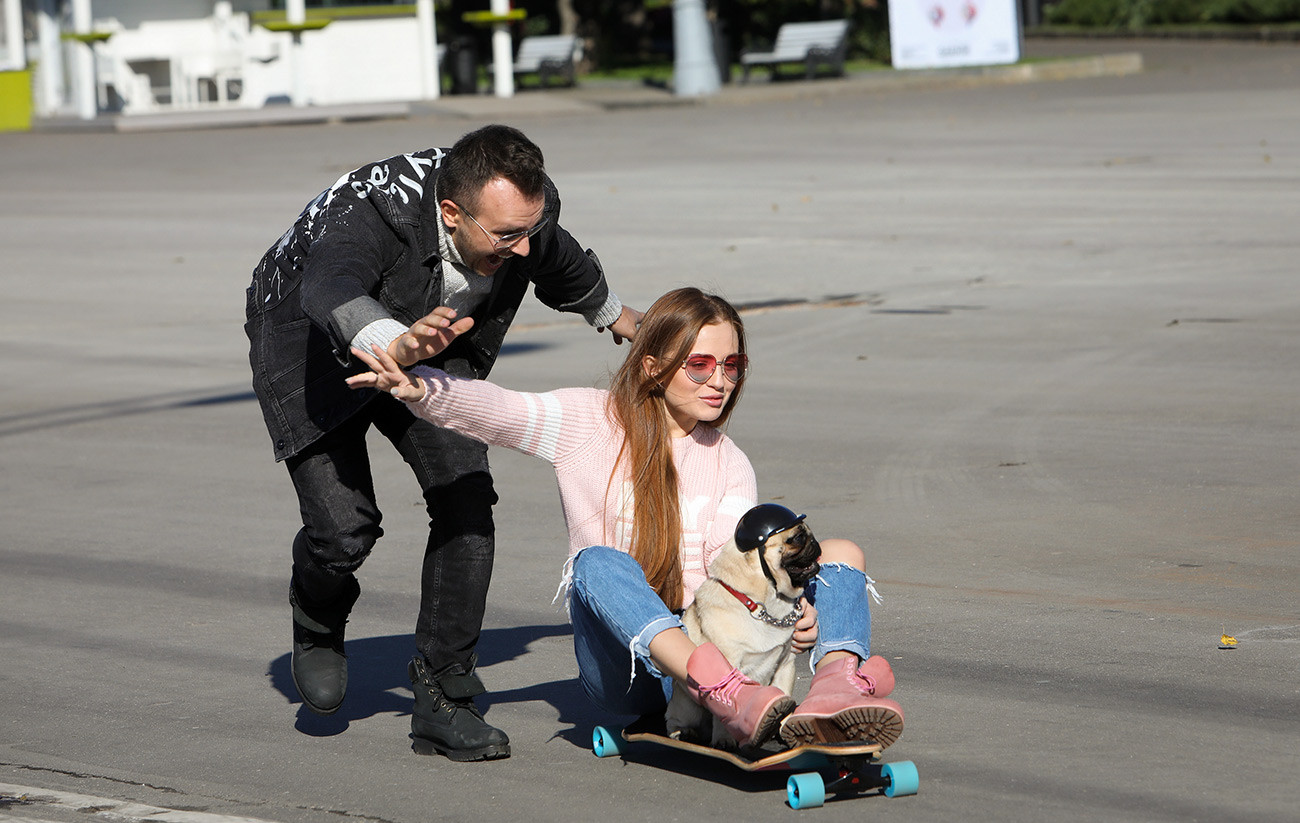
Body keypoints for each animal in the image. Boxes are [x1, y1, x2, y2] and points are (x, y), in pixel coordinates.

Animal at [670, 504, 821, 748]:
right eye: (797, 538)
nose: (814, 541)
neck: (762, 603)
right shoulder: (728, 667)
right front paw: (724, 740)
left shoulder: (785, 665)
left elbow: (783, 696)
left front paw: (784, 727)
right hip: (686, 705)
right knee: (677, 721)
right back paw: (684, 733)